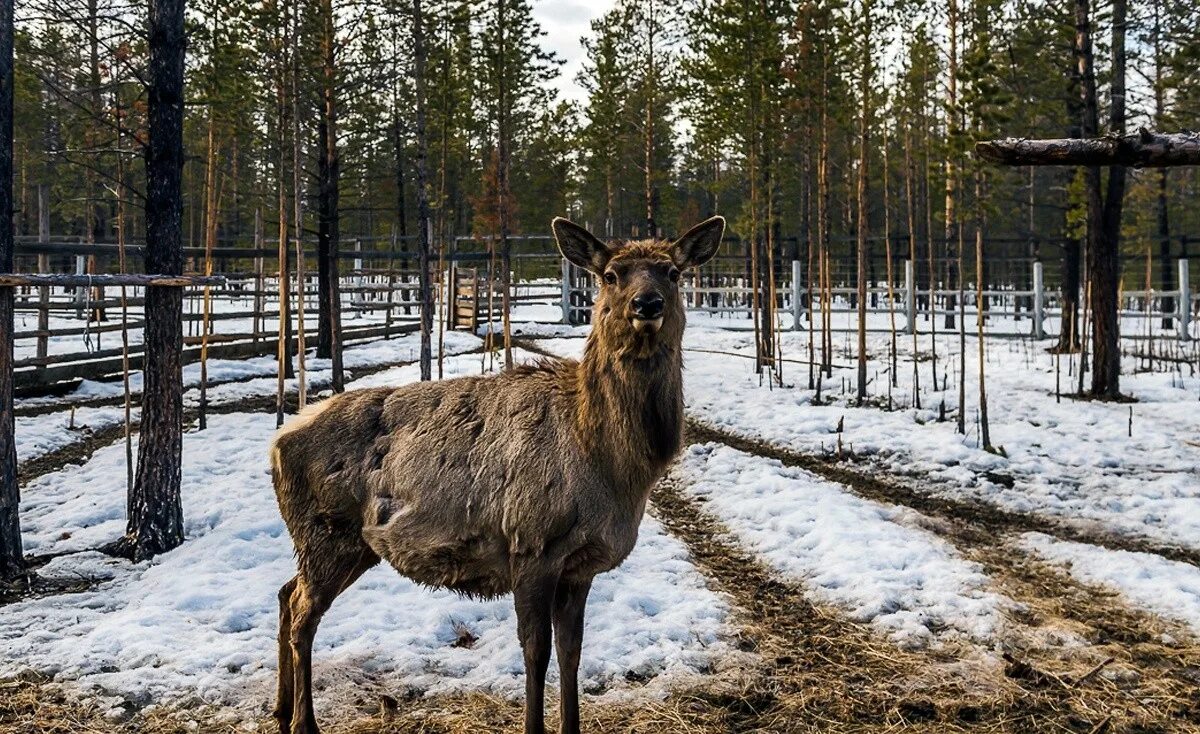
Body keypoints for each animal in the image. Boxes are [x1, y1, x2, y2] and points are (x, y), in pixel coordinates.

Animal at [272, 214, 720, 734]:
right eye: (610, 275)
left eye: (672, 272)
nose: (646, 304)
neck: (614, 468)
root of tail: (277, 442)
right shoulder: (531, 546)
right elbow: (535, 653)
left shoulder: (581, 566)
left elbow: (572, 653)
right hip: (327, 534)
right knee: (303, 614)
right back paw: (303, 721)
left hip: (343, 545)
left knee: (285, 594)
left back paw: (280, 708)